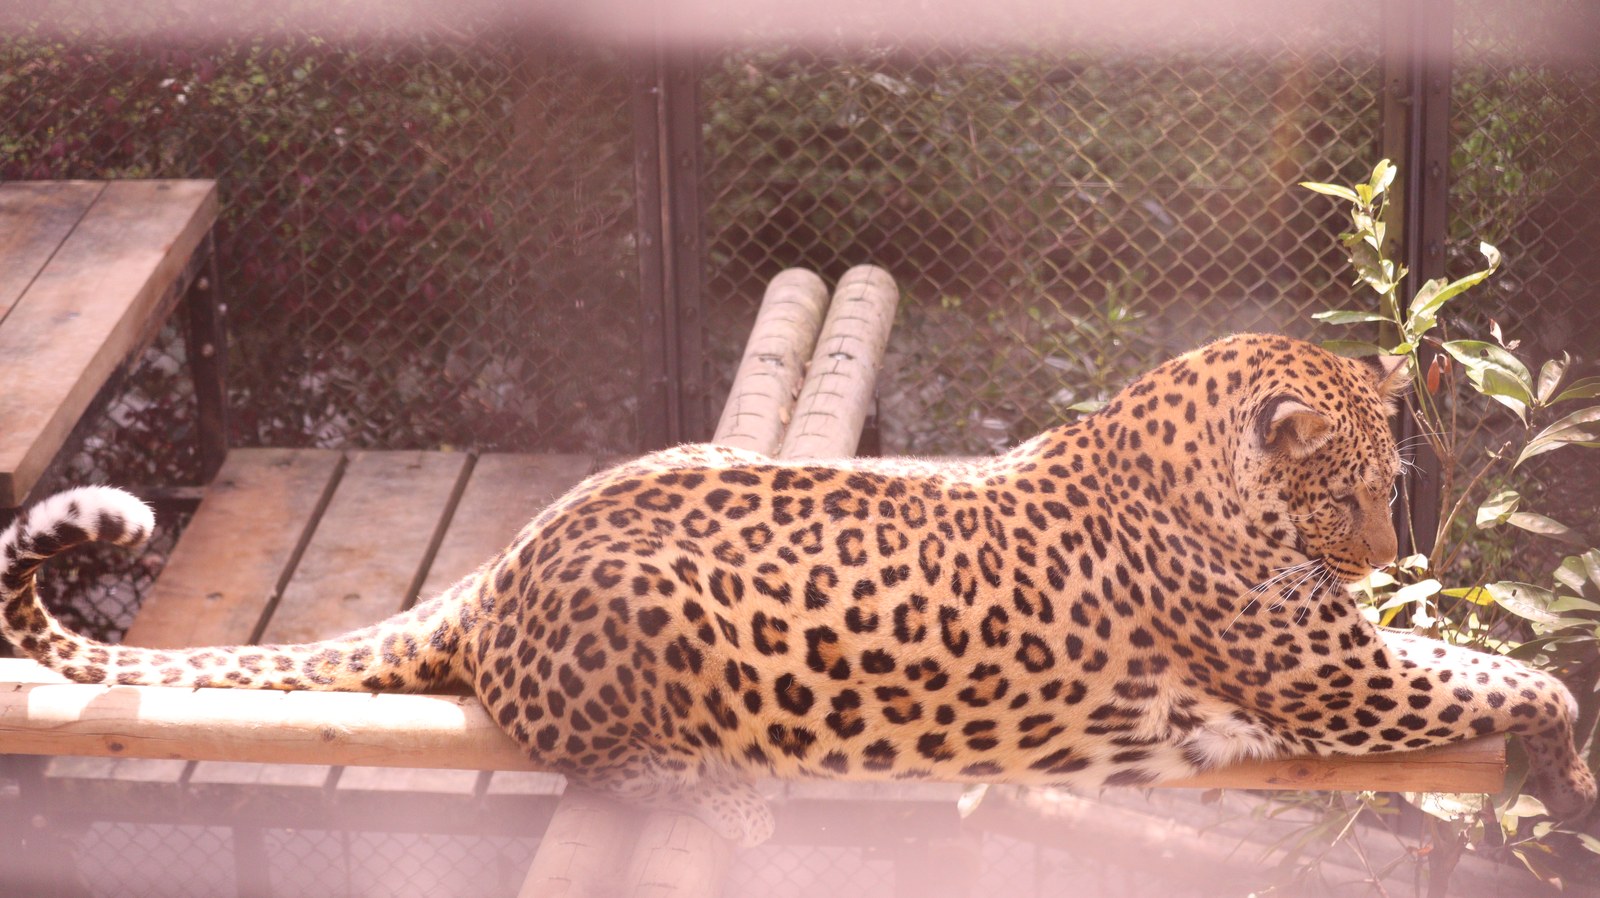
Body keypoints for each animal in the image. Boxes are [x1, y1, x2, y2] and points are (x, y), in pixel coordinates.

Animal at [2, 333, 1593, 847]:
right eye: (1345, 488)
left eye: (1388, 487)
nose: (1382, 552)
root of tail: (504, 563)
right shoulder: (1340, 674)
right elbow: (1510, 672)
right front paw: (1565, 738)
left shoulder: (1351, 653)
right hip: (645, 621)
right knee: (586, 749)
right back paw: (719, 793)